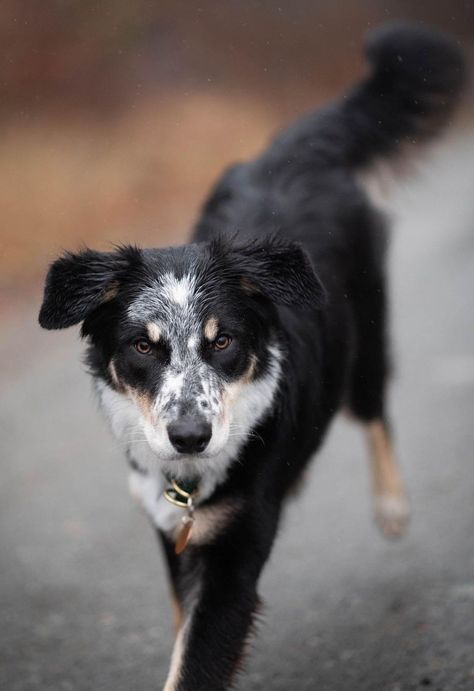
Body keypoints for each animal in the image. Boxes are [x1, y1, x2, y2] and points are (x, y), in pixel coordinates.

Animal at [39, 23, 464, 691]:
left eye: (223, 341)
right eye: (142, 345)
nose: (190, 437)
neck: (189, 483)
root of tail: (294, 149)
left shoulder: (233, 557)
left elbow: (197, 659)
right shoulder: (169, 527)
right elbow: (180, 626)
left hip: (365, 337)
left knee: (374, 409)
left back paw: (393, 505)